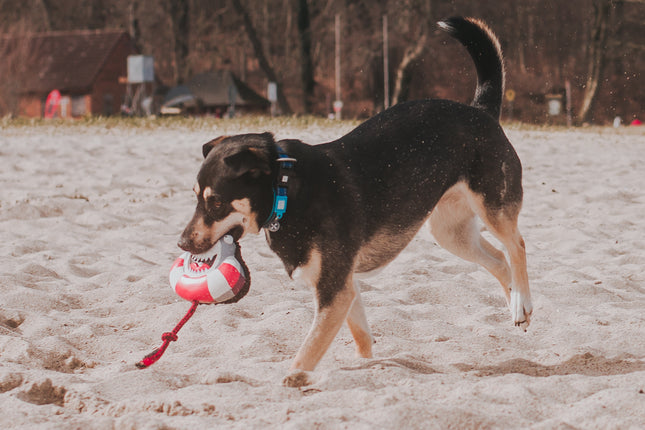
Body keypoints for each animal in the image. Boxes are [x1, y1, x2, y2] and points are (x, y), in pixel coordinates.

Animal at [177, 16, 532, 386]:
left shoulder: (335, 290)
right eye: (196, 198)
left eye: (217, 202)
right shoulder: (343, 286)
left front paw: (294, 378)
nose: (182, 243)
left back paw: (521, 298)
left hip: (492, 205)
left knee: (516, 246)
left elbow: (308, 349)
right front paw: (366, 365)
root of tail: (481, 111)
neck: (286, 192)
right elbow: (360, 335)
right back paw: (517, 307)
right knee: (498, 258)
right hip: (451, 233)